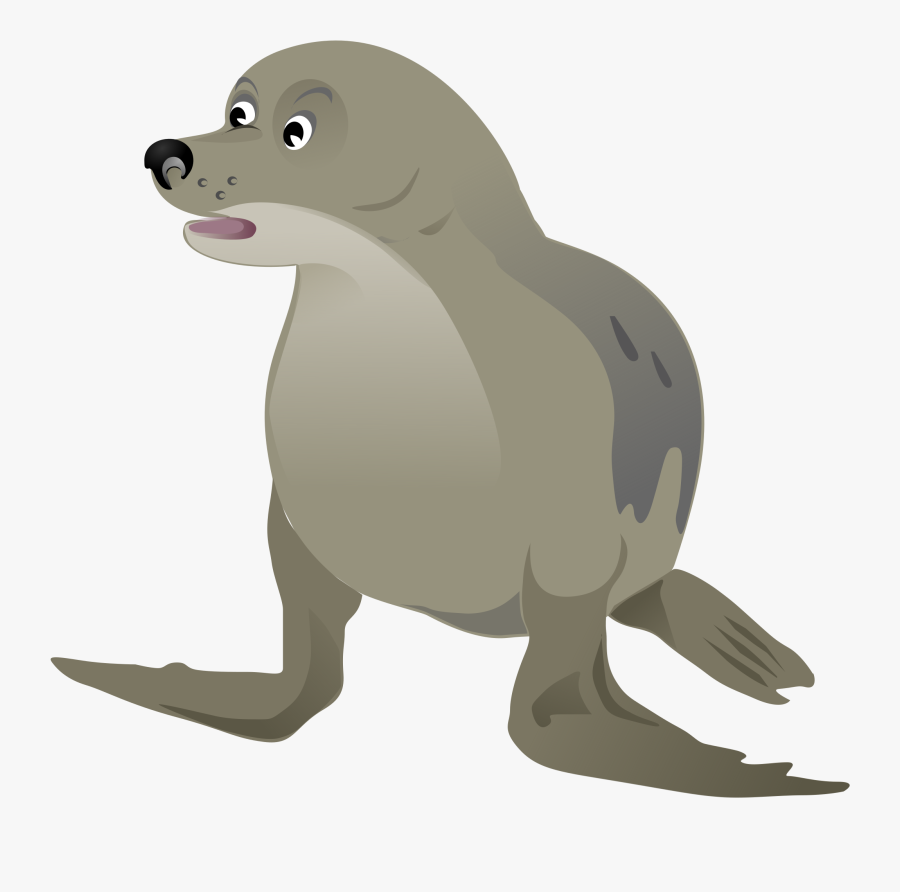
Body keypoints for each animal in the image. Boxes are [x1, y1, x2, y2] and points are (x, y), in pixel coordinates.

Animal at [52, 41, 847, 797]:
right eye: (236, 112)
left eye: (296, 131)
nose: (167, 153)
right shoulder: (295, 524)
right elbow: (307, 669)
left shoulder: (574, 540)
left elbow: (541, 707)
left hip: (634, 547)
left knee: (633, 601)